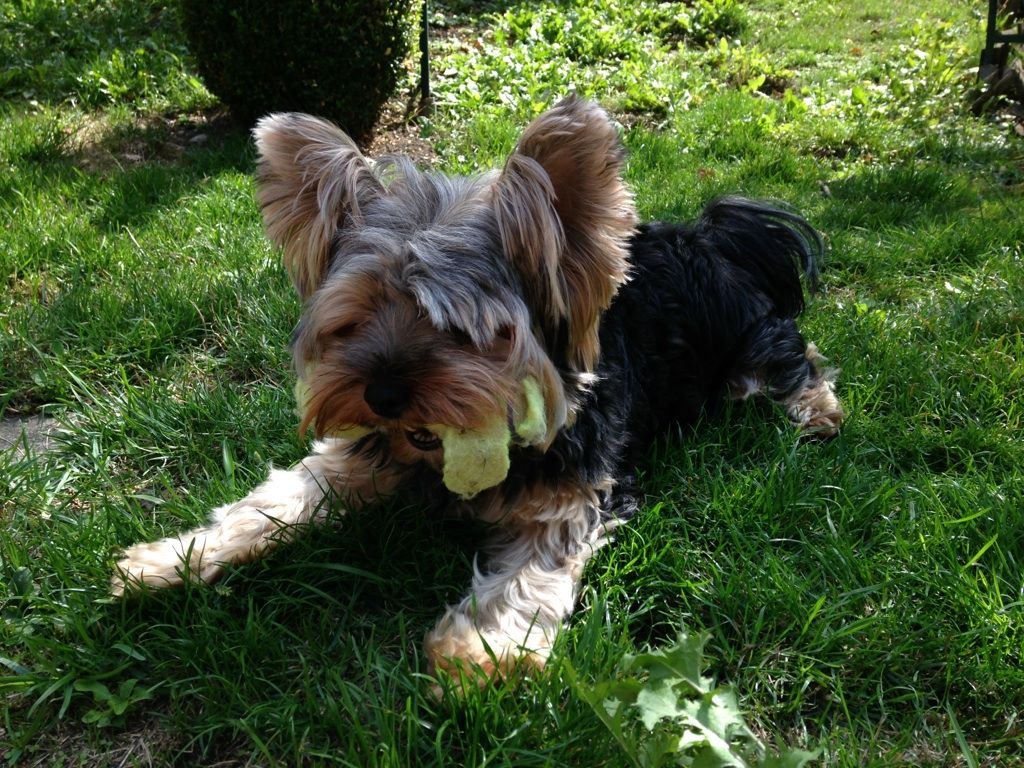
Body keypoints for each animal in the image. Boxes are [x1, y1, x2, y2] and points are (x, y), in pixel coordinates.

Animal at [116, 96, 843, 692]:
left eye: (461, 329)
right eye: (353, 319)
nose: (382, 393)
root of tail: (710, 234)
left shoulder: (576, 492)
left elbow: (530, 573)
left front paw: (477, 650)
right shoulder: (360, 450)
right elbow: (276, 500)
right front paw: (168, 560)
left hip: (746, 341)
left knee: (793, 357)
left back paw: (817, 412)